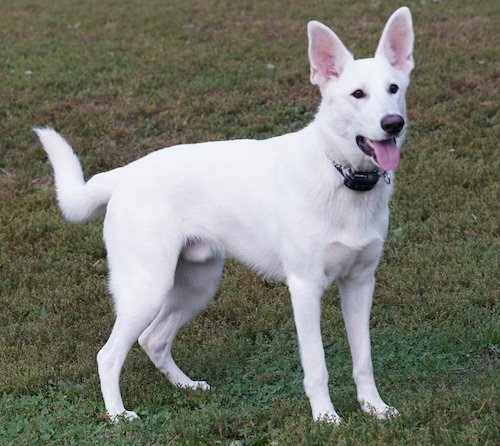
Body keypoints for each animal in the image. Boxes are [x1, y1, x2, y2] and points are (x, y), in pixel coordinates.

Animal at [35, 6, 414, 424]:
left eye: (394, 89)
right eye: (357, 94)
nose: (393, 124)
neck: (342, 175)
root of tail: (124, 174)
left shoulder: (360, 283)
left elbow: (364, 360)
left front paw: (374, 408)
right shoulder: (304, 288)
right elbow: (317, 366)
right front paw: (326, 418)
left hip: (197, 286)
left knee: (153, 339)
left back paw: (186, 386)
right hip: (147, 288)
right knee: (109, 354)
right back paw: (118, 415)